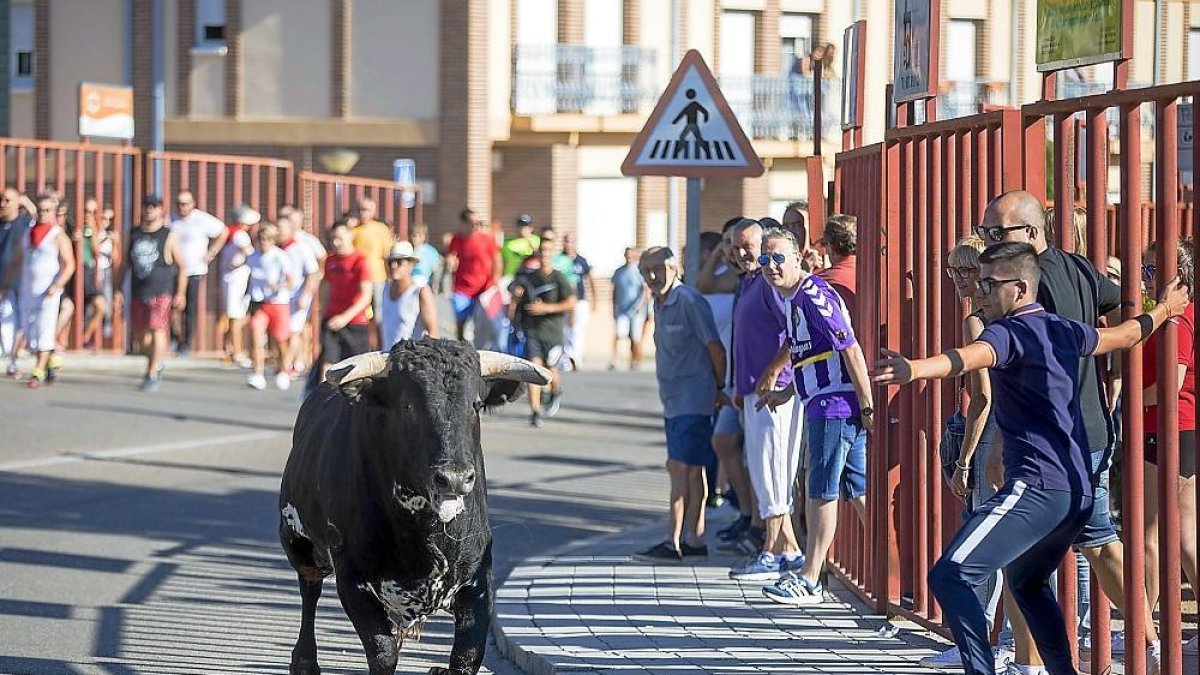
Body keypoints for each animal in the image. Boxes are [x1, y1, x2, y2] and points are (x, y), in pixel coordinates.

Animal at [278, 338, 549, 667]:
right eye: (408, 405)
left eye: (475, 404)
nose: (454, 478)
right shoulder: (352, 579)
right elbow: (383, 651)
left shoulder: (477, 578)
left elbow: (468, 653)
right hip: (298, 543)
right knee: (309, 590)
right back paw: (304, 660)